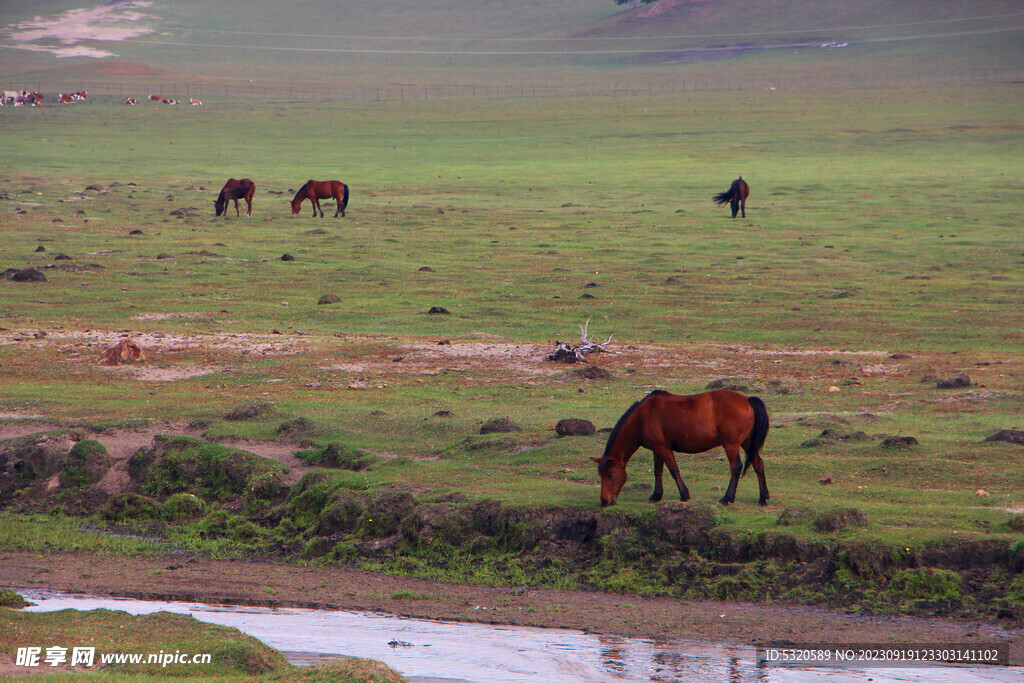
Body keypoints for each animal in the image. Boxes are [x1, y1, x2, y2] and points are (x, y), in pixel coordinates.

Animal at [593, 389, 770, 507]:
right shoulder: (657, 450)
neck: (642, 417)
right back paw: (763, 498)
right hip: (747, 443)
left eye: (609, 474)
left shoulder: (663, 448)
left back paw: (727, 498)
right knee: (758, 464)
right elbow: (658, 471)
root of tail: (747, 399)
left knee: (736, 467)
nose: (604, 501)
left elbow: (673, 470)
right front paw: (656, 495)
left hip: (731, 445)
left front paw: (684, 494)